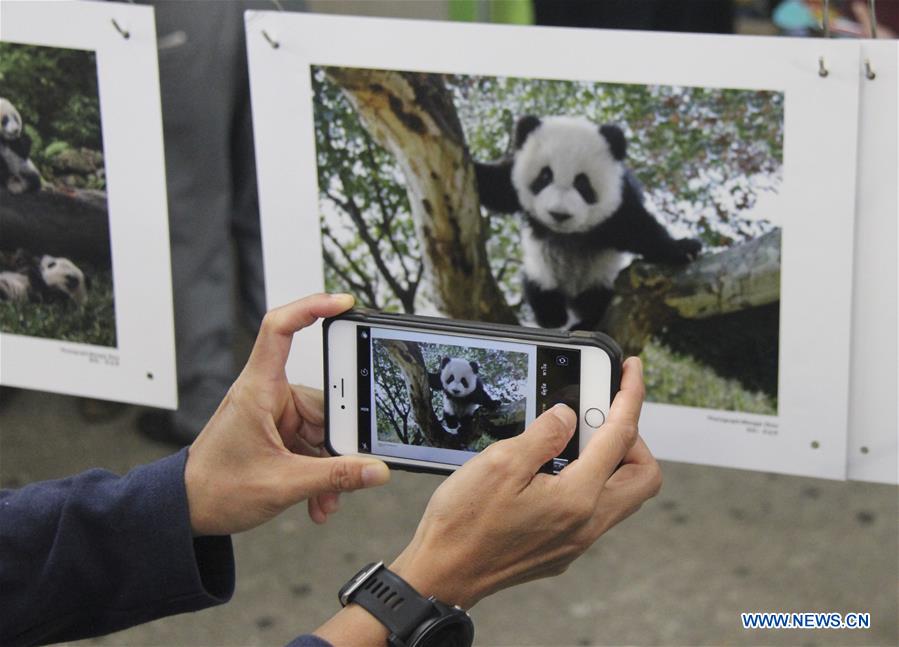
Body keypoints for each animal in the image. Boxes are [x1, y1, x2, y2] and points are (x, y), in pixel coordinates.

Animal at [478, 114, 704, 332]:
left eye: (582, 182)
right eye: (545, 176)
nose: (559, 215)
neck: (567, 234)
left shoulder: (619, 201)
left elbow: (639, 229)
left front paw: (682, 247)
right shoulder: (511, 177)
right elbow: (495, 186)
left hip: (598, 277)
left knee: (595, 301)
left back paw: (584, 322)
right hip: (542, 269)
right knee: (536, 285)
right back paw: (551, 315)